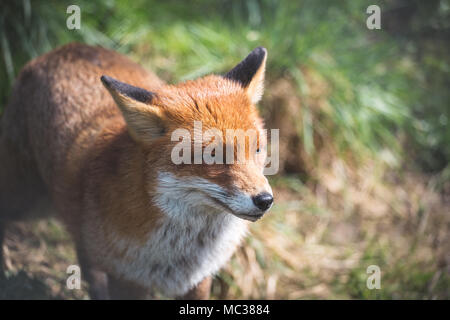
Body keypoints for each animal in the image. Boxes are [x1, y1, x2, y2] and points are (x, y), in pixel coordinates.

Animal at [0, 43, 272, 300]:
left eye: (257, 149)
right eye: (213, 155)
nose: (265, 200)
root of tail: (65, 48)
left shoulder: (197, 280)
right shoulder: (127, 280)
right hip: (25, 200)